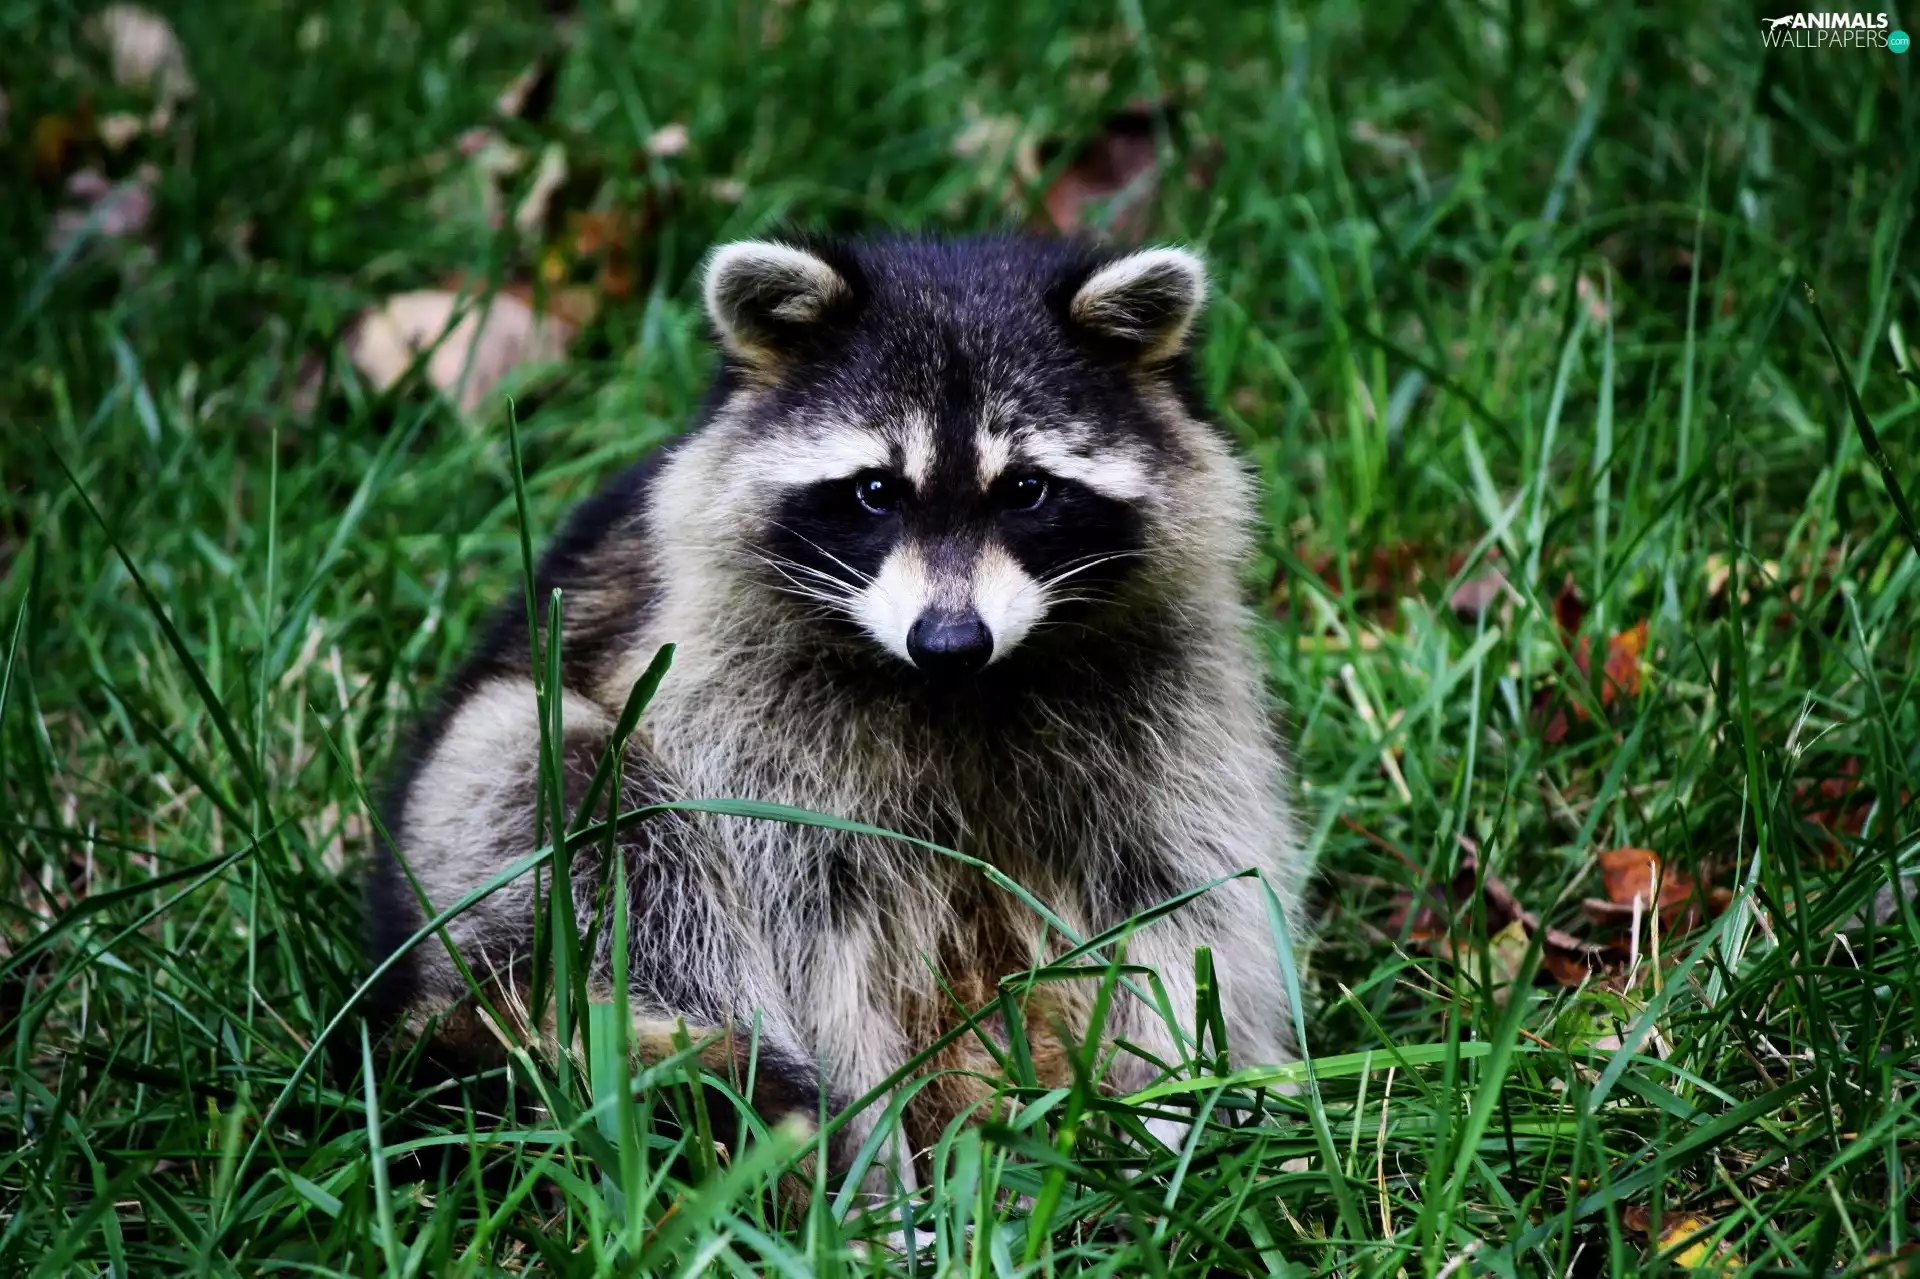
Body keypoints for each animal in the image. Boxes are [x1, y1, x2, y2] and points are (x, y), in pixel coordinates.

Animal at [366, 233, 1309, 1182]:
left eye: (1027, 490)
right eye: (876, 490)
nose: (950, 640)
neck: (962, 690)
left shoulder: (1170, 705)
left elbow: (1185, 910)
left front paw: (1180, 1116)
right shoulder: (745, 718)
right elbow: (810, 947)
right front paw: (868, 1171)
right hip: (479, 827)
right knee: (591, 798)